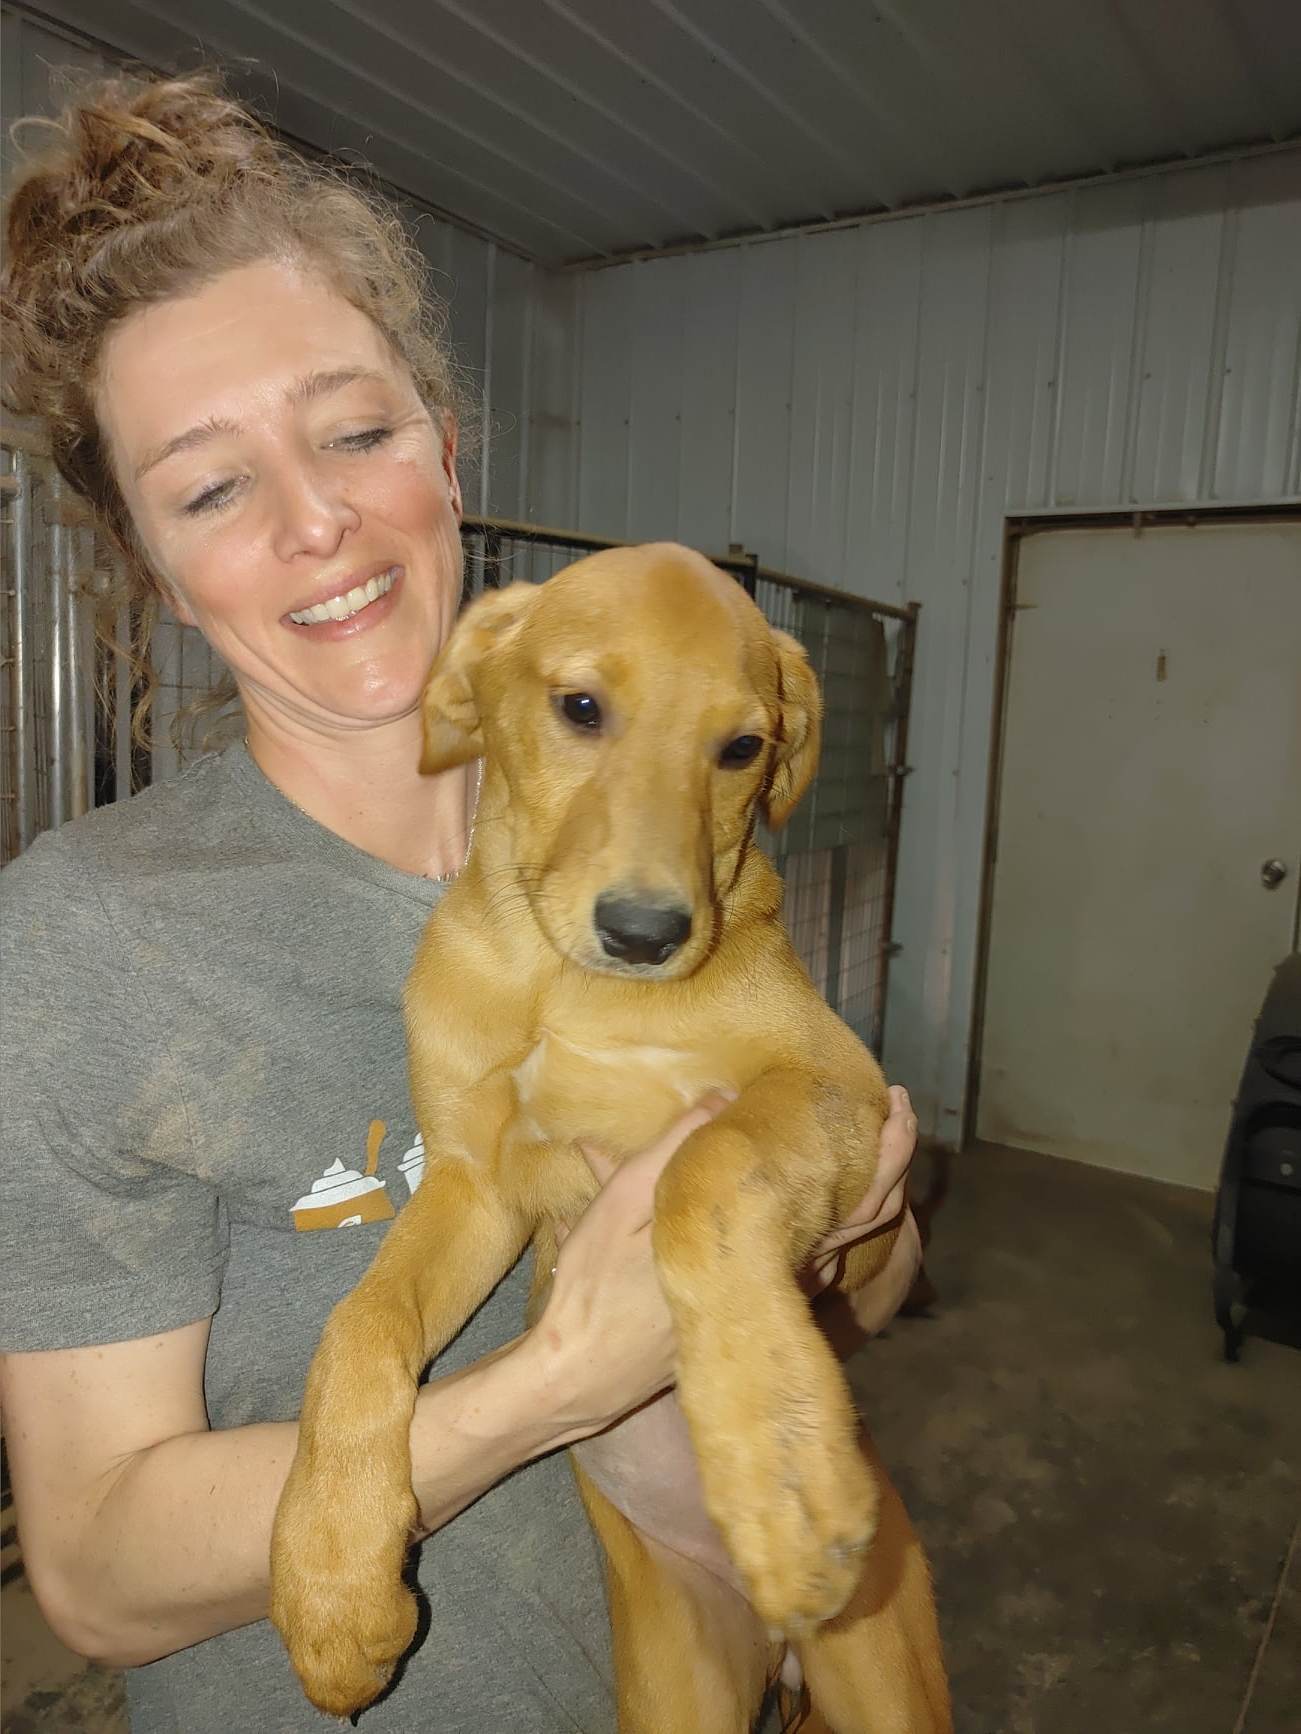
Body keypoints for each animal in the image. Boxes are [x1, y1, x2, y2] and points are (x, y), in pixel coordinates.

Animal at [272, 544, 950, 1734]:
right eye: (580, 708)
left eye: (740, 748)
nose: (646, 934)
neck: (561, 983)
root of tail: (779, 1657)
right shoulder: (474, 1183)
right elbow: (359, 1325)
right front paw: (333, 1591)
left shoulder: (847, 1098)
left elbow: (705, 1175)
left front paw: (781, 1477)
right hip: (675, 1682)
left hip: (885, 1670)